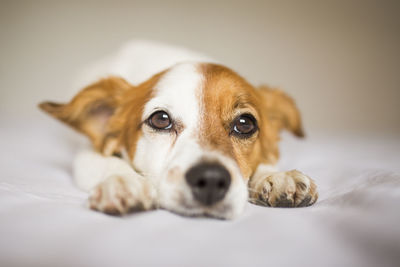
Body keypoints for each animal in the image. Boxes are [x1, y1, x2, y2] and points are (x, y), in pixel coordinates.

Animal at [39, 40, 318, 220]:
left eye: (245, 124)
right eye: (161, 119)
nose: (211, 179)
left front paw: (277, 176)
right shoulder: (87, 152)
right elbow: (107, 162)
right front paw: (126, 182)